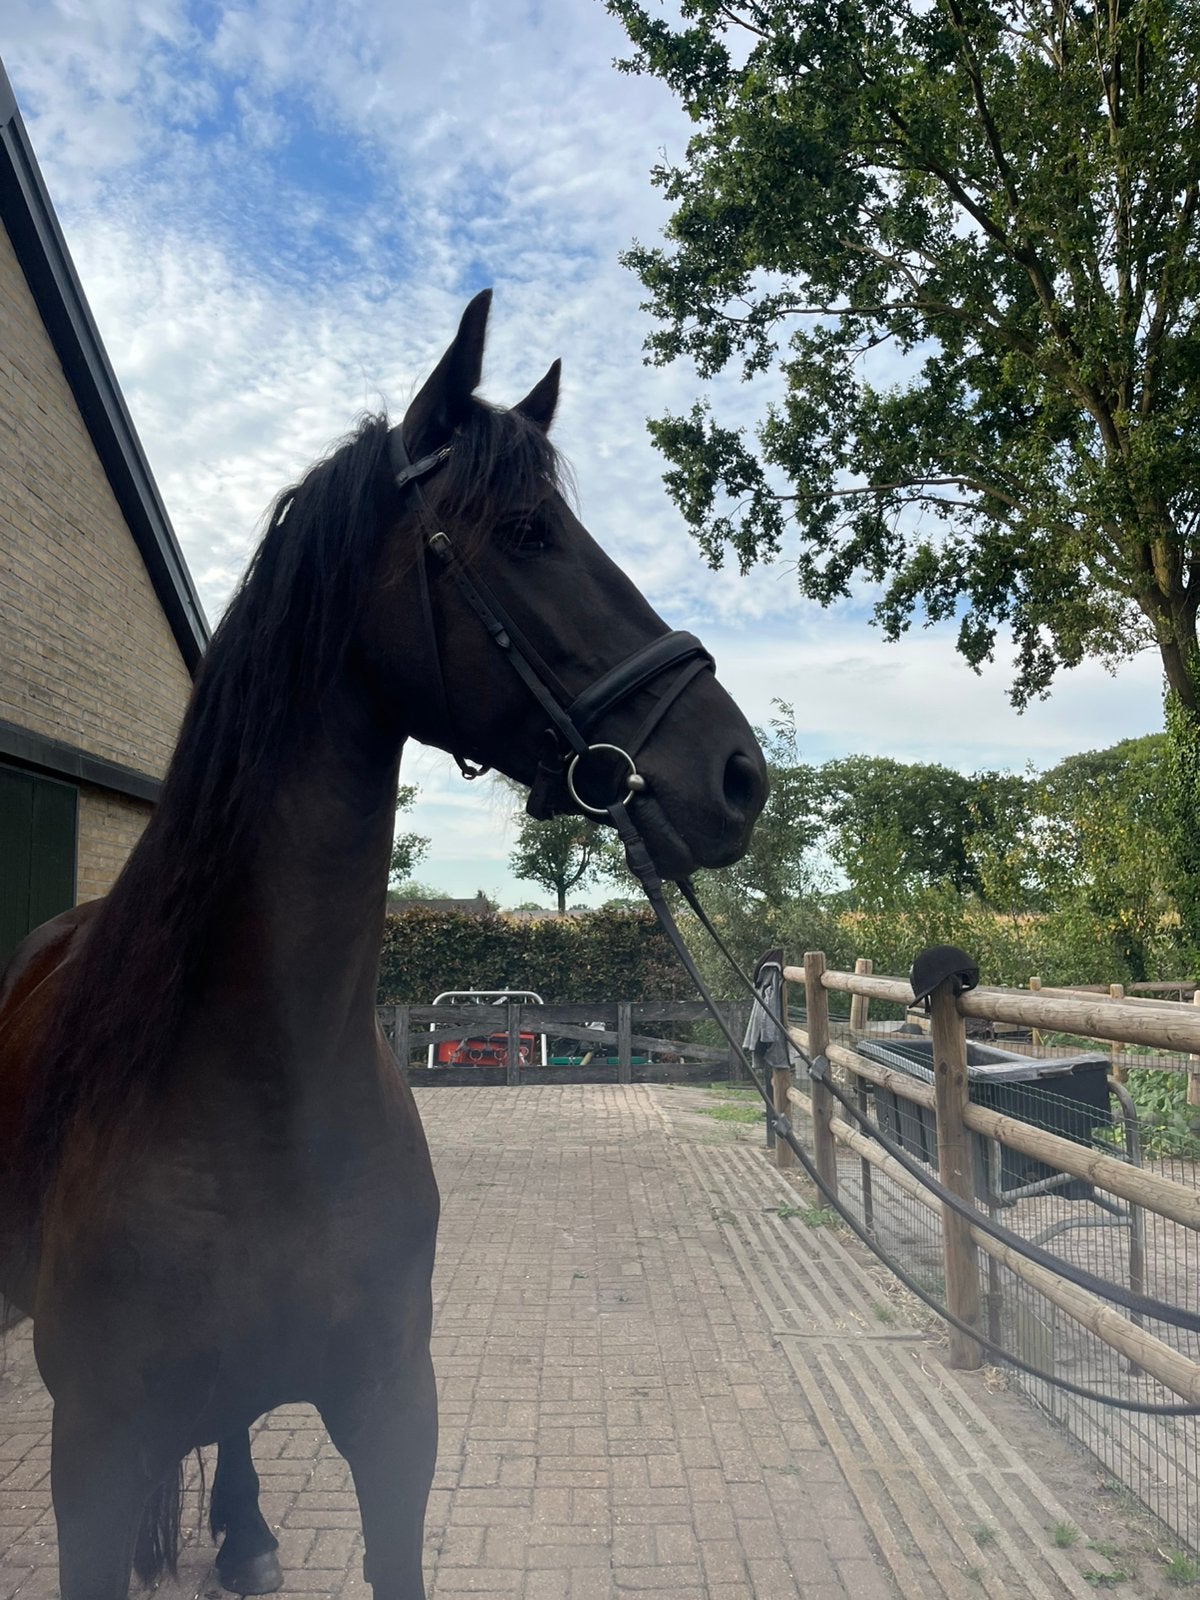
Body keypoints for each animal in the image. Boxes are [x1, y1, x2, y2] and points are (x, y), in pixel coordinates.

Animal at [0, 290, 767, 1600]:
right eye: (528, 530)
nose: (738, 772)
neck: (263, 1095)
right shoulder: (90, 1465)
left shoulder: (399, 1421)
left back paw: (248, 1534)